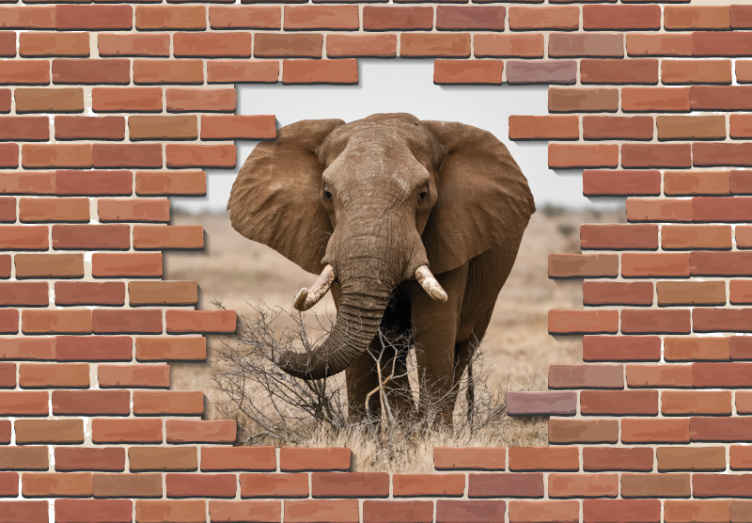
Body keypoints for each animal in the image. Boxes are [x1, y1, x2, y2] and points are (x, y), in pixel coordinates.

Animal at [227, 112, 535, 428]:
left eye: (423, 194)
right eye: (327, 194)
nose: (277, 349)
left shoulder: (452, 235)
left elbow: (434, 325)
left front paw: (429, 433)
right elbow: (373, 338)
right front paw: (370, 433)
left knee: (463, 347)